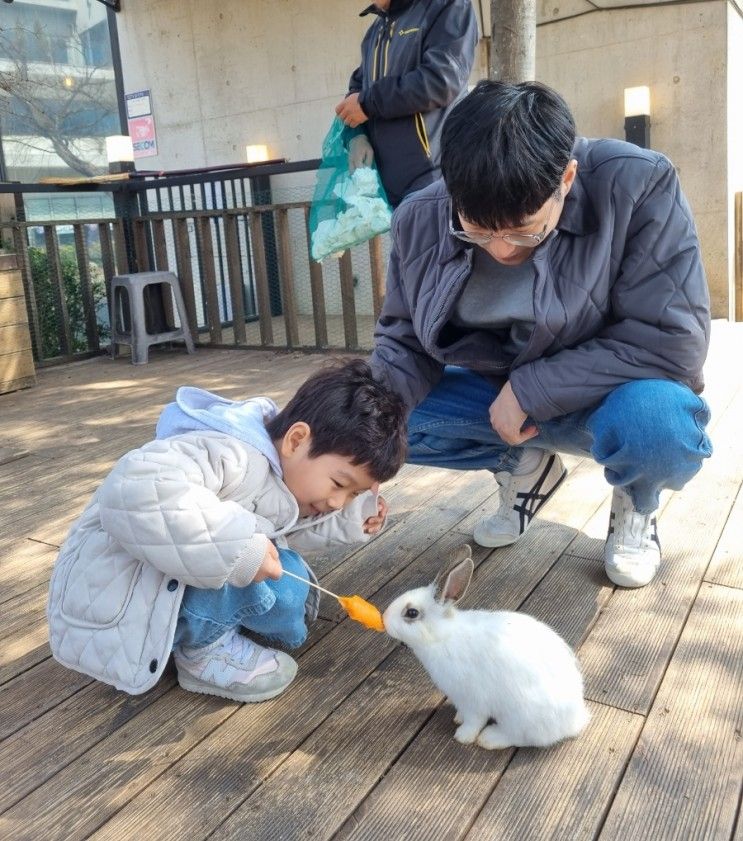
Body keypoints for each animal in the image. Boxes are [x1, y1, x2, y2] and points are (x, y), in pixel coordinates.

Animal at [386, 544, 588, 748]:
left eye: (412, 613)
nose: (385, 620)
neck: (442, 636)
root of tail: (576, 720)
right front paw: (458, 718)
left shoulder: (472, 700)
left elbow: (474, 721)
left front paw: (462, 736)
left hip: (520, 716)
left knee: (521, 737)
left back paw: (489, 738)